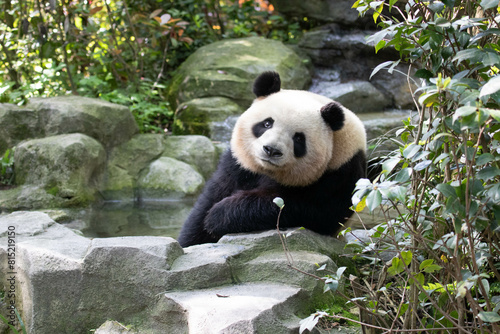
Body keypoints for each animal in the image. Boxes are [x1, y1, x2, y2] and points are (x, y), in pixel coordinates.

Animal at [178, 71, 366, 248]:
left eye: (298, 138)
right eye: (267, 123)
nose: (271, 150)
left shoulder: (341, 173)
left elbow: (308, 210)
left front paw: (219, 216)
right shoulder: (238, 165)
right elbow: (210, 199)